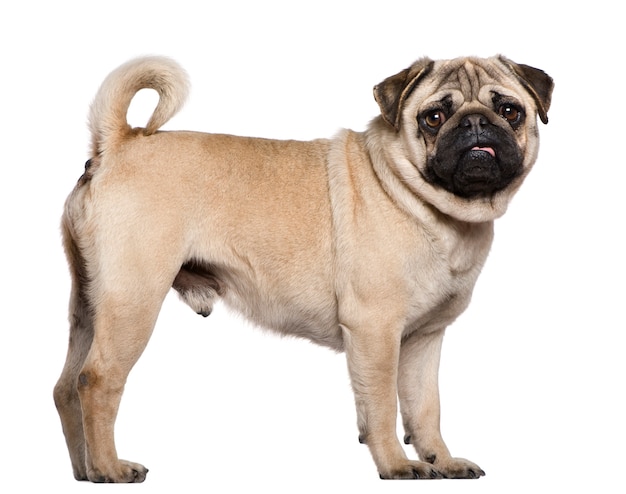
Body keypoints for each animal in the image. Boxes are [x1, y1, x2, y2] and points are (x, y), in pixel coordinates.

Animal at [53, 55, 552, 482]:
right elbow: (382, 407)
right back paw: (110, 469)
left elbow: (425, 409)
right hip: (133, 302)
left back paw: (84, 469)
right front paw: (396, 464)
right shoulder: (375, 332)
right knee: (97, 381)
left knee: (65, 387)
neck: (427, 204)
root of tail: (117, 144)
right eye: (433, 117)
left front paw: (441, 462)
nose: (475, 123)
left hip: (89, 306)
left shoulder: (424, 341)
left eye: (509, 111)